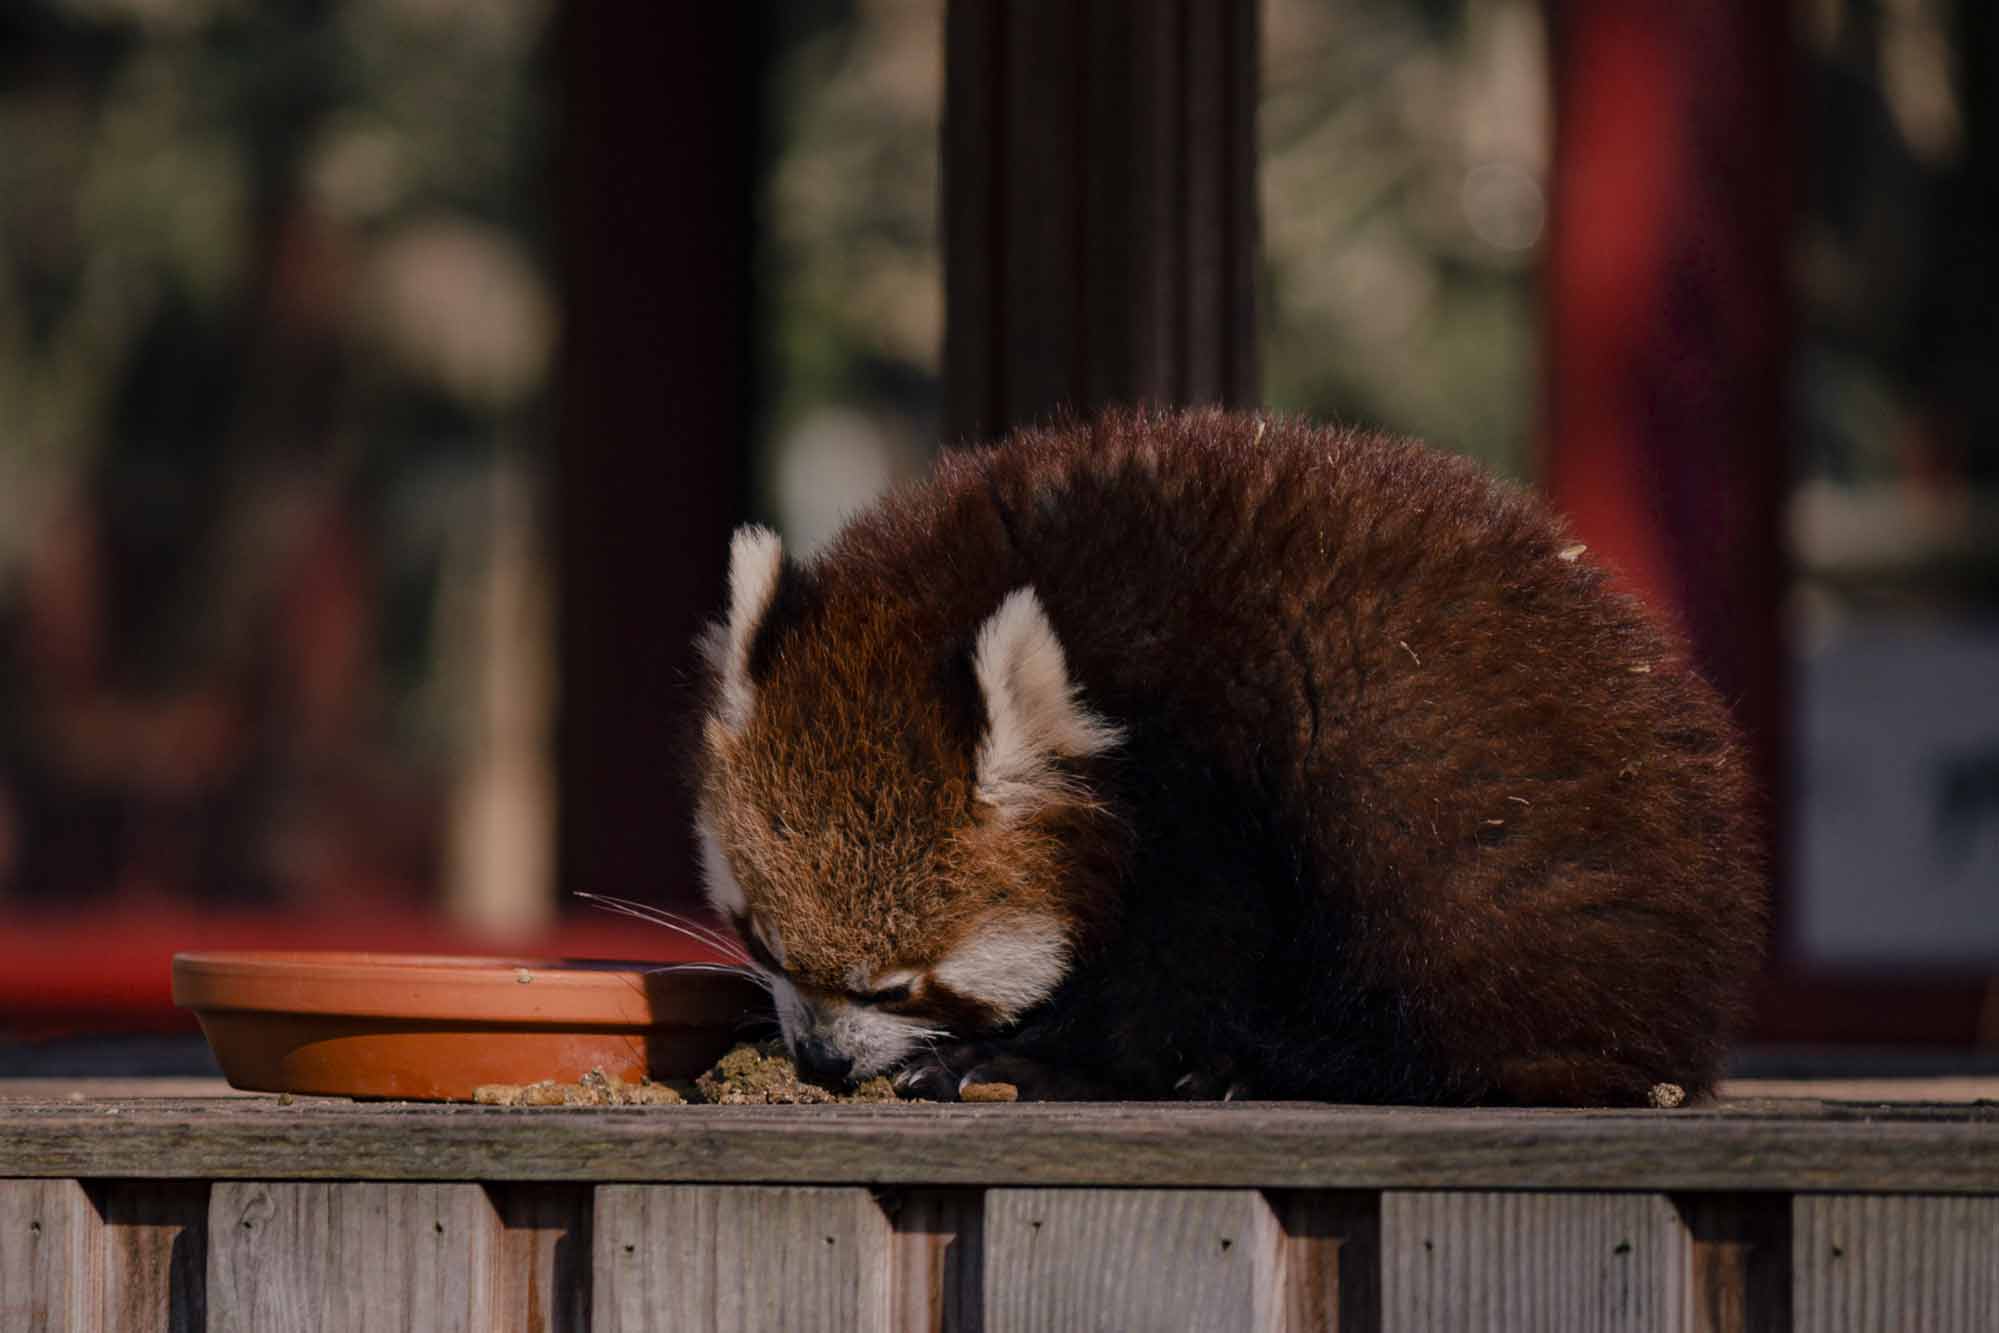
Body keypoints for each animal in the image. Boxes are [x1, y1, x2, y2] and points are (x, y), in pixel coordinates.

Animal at [687, 407, 1767, 1103]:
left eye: (896, 985)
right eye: (762, 943)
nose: (821, 1060)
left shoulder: (1212, 758)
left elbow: (1179, 953)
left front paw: (1036, 1061)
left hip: (1452, 840)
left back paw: (1271, 1061)